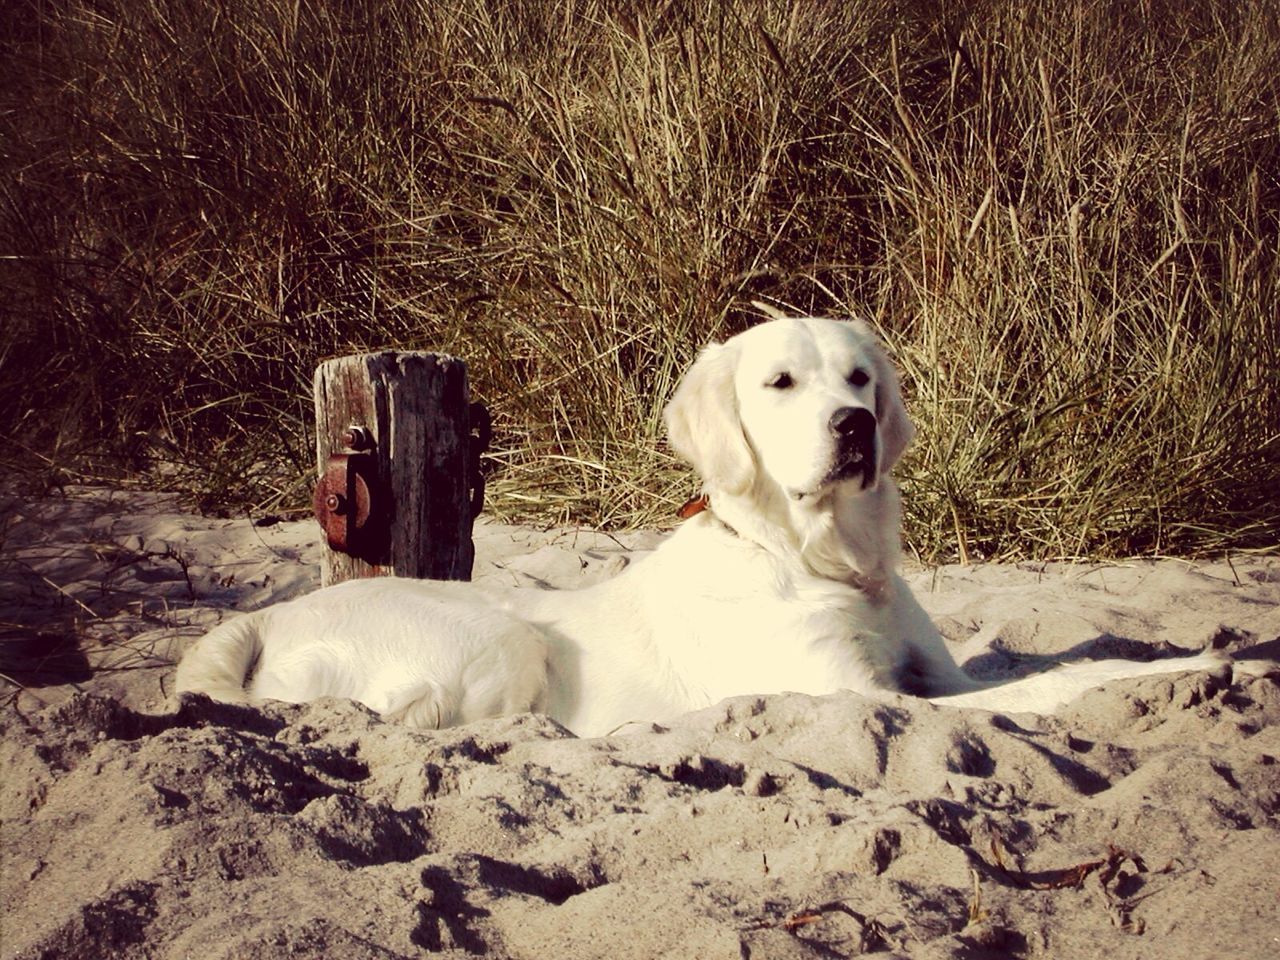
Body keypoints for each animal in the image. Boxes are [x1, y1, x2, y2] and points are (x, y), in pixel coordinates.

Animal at [175, 316, 1244, 737]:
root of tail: (260, 619)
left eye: (860, 379)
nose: (854, 426)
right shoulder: (861, 697)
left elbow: (1049, 670)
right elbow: (1040, 691)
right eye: (780, 383)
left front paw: (1178, 662)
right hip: (504, 642)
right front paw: (1193, 668)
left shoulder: (933, 674)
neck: (823, 559)